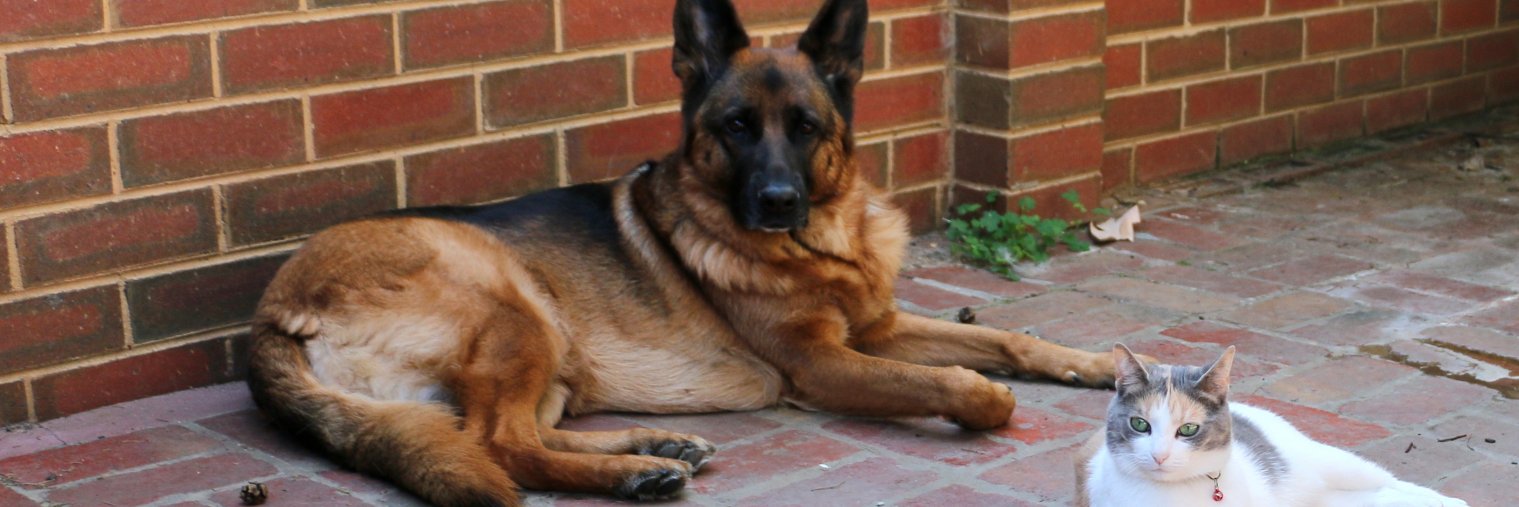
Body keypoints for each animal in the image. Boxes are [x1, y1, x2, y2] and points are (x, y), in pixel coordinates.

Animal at [245, 0, 1115, 505]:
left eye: (805, 126)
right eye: (736, 127)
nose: (777, 202)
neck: (824, 245)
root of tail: (272, 313)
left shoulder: (877, 326)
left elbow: (1007, 336)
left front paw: (1098, 363)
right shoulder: (824, 362)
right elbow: (945, 380)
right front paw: (985, 397)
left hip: (551, 355)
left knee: (508, 432)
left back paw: (653, 448)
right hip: (512, 306)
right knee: (499, 445)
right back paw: (628, 472)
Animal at [1074, 344, 1468, 507]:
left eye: (1187, 430)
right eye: (1140, 424)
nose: (1159, 456)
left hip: (1332, 464)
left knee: (1392, 482)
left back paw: (1449, 501)